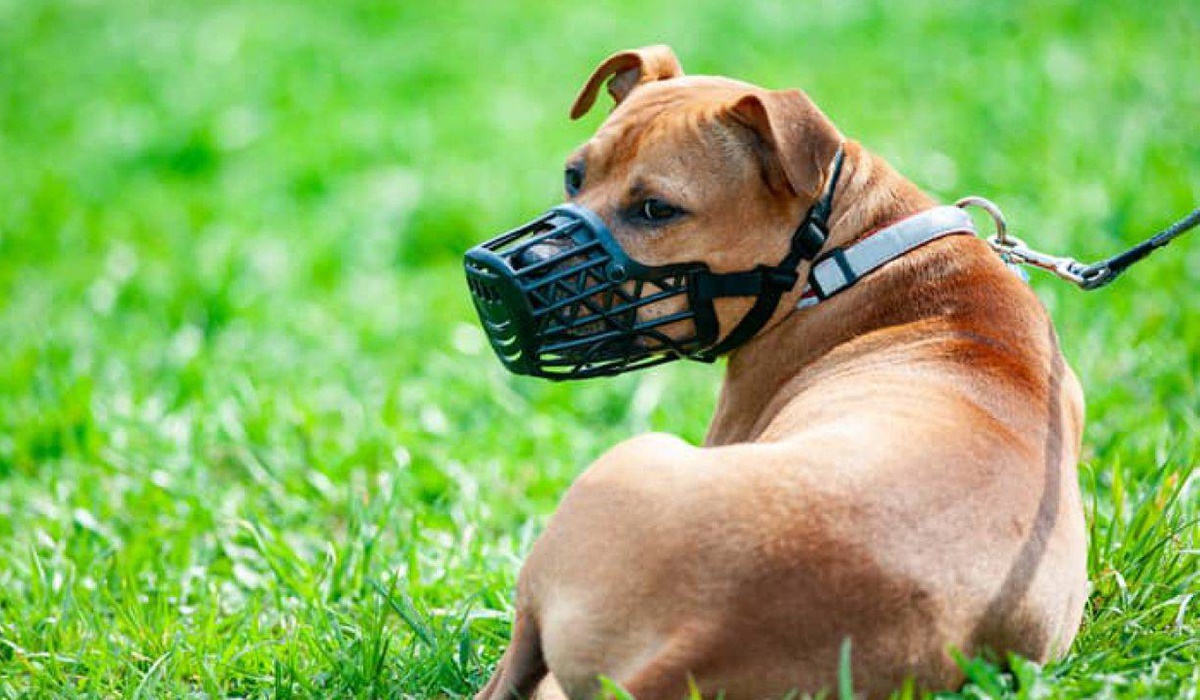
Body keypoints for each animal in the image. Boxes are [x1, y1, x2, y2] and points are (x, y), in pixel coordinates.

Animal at [472, 45, 1094, 700]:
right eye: (575, 176)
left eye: (656, 210)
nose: (503, 271)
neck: (842, 253)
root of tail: (706, 632)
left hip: (621, 472)